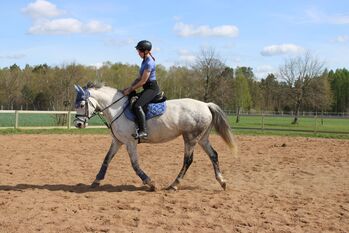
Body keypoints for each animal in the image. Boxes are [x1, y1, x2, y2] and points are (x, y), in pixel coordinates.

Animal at [73, 82, 237, 191]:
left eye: (81, 105)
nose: (78, 124)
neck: (116, 109)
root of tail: (206, 105)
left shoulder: (130, 142)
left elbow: (135, 164)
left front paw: (150, 183)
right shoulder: (118, 141)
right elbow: (106, 159)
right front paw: (96, 180)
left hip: (190, 138)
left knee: (188, 160)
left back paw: (174, 185)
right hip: (202, 138)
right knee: (213, 155)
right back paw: (222, 181)